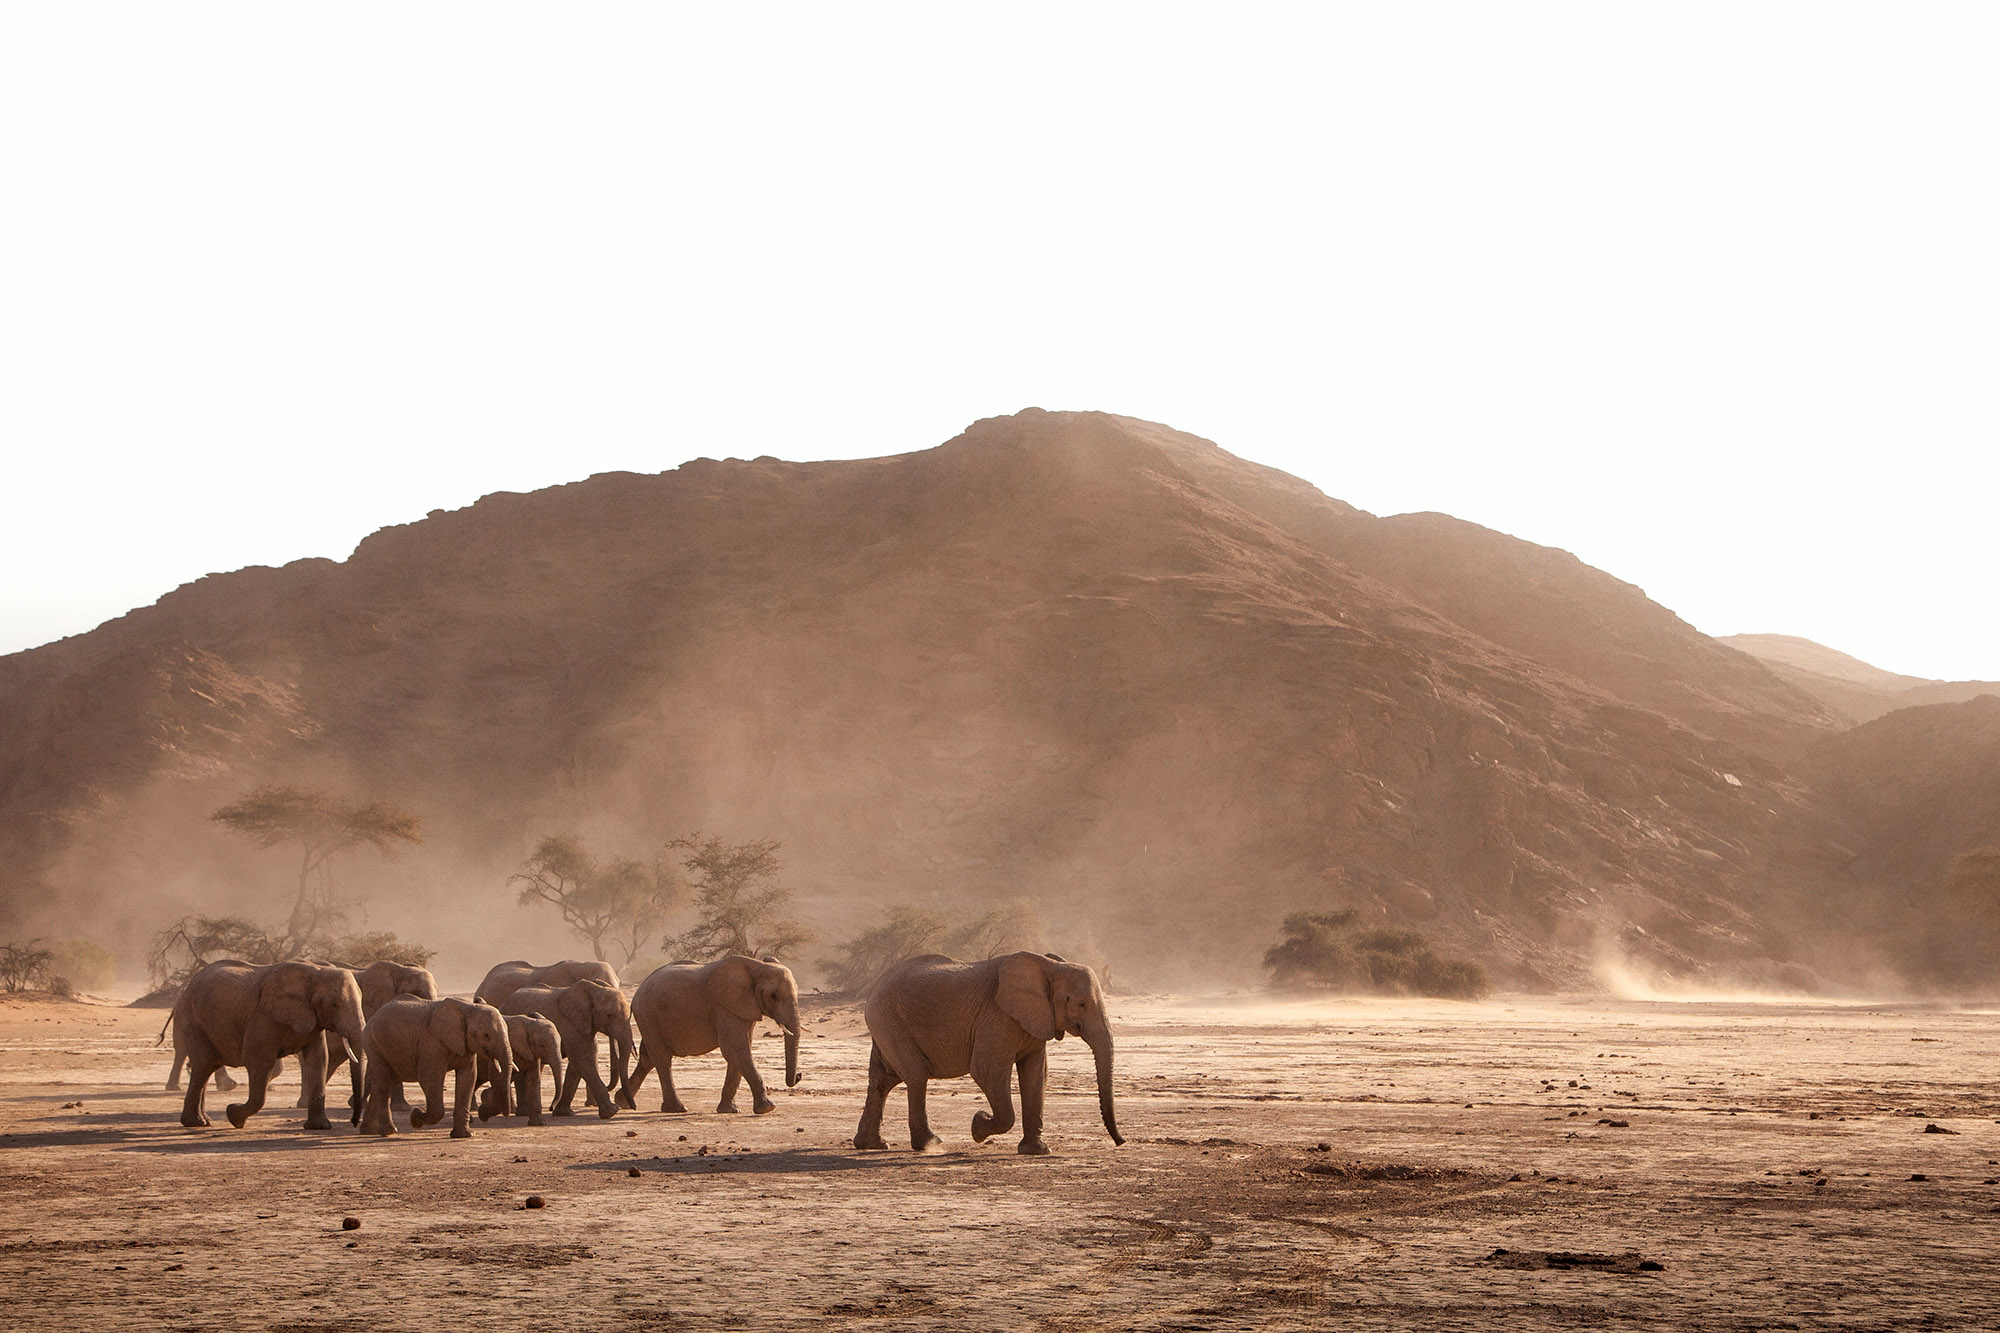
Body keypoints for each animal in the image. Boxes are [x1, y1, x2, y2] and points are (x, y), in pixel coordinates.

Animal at [170, 960, 366, 1128]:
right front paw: (234, 1115)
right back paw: (195, 1123)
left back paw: (205, 1121)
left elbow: (318, 1060)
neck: (317, 972)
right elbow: (258, 1061)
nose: (354, 1122)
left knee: (208, 1066)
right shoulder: (263, 1016)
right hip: (192, 1019)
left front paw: (319, 1127)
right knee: (204, 1064)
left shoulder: (313, 1020)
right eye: (334, 1005)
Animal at [362, 992, 512, 1136]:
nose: (482, 1113)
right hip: (373, 1043)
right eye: (486, 1035)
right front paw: (416, 1117)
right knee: (384, 1083)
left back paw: (370, 1131)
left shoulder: (465, 1045)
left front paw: (464, 1135)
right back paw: (389, 1131)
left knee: (385, 1082)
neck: (467, 1008)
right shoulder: (431, 1042)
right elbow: (429, 1077)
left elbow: (468, 1077)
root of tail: (374, 1016)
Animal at [494, 976, 632, 1112]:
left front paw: (563, 1113)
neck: (593, 989)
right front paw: (612, 1111)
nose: (633, 1106)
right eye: (609, 1015)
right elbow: (582, 1061)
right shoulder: (571, 1025)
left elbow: (580, 1063)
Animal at [620, 956, 800, 1112]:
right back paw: (677, 1109)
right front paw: (767, 1109)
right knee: (662, 1059)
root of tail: (638, 990)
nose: (799, 1075)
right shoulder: (725, 1005)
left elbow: (740, 1050)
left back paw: (623, 1102)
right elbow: (735, 1049)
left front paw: (729, 1110)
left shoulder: (743, 1009)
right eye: (773, 996)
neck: (756, 966)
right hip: (648, 1014)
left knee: (647, 1058)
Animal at [852, 944, 1128, 1152]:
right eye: (1081, 1004)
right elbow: (987, 1070)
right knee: (916, 1076)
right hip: (888, 1019)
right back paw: (931, 1144)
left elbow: (1036, 1074)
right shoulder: (997, 1017)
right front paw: (978, 1125)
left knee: (884, 1079)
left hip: (886, 1023)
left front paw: (1037, 1150)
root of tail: (874, 987)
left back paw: (872, 1145)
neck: (1049, 967)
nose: (1121, 1141)